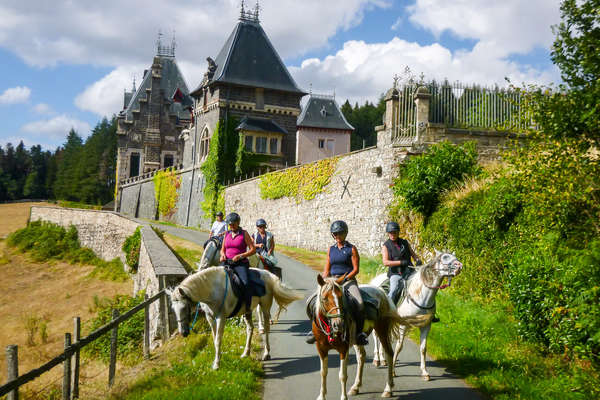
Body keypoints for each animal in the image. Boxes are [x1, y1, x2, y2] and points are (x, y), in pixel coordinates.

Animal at [166, 266, 302, 368]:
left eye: (185, 307)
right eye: (173, 309)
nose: (183, 332)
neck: (212, 290)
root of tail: (268, 274)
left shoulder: (221, 318)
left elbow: (218, 340)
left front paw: (216, 364)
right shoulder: (210, 318)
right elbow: (214, 339)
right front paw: (217, 359)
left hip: (265, 307)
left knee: (267, 329)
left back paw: (266, 354)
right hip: (248, 311)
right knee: (250, 329)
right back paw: (246, 353)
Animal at [370, 252, 464, 380]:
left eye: (454, 257)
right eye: (445, 257)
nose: (459, 266)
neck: (420, 295)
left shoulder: (426, 326)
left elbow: (423, 348)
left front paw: (424, 372)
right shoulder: (403, 326)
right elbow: (399, 347)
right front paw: (393, 371)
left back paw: (383, 359)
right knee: (376, 336)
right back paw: (377, 360)